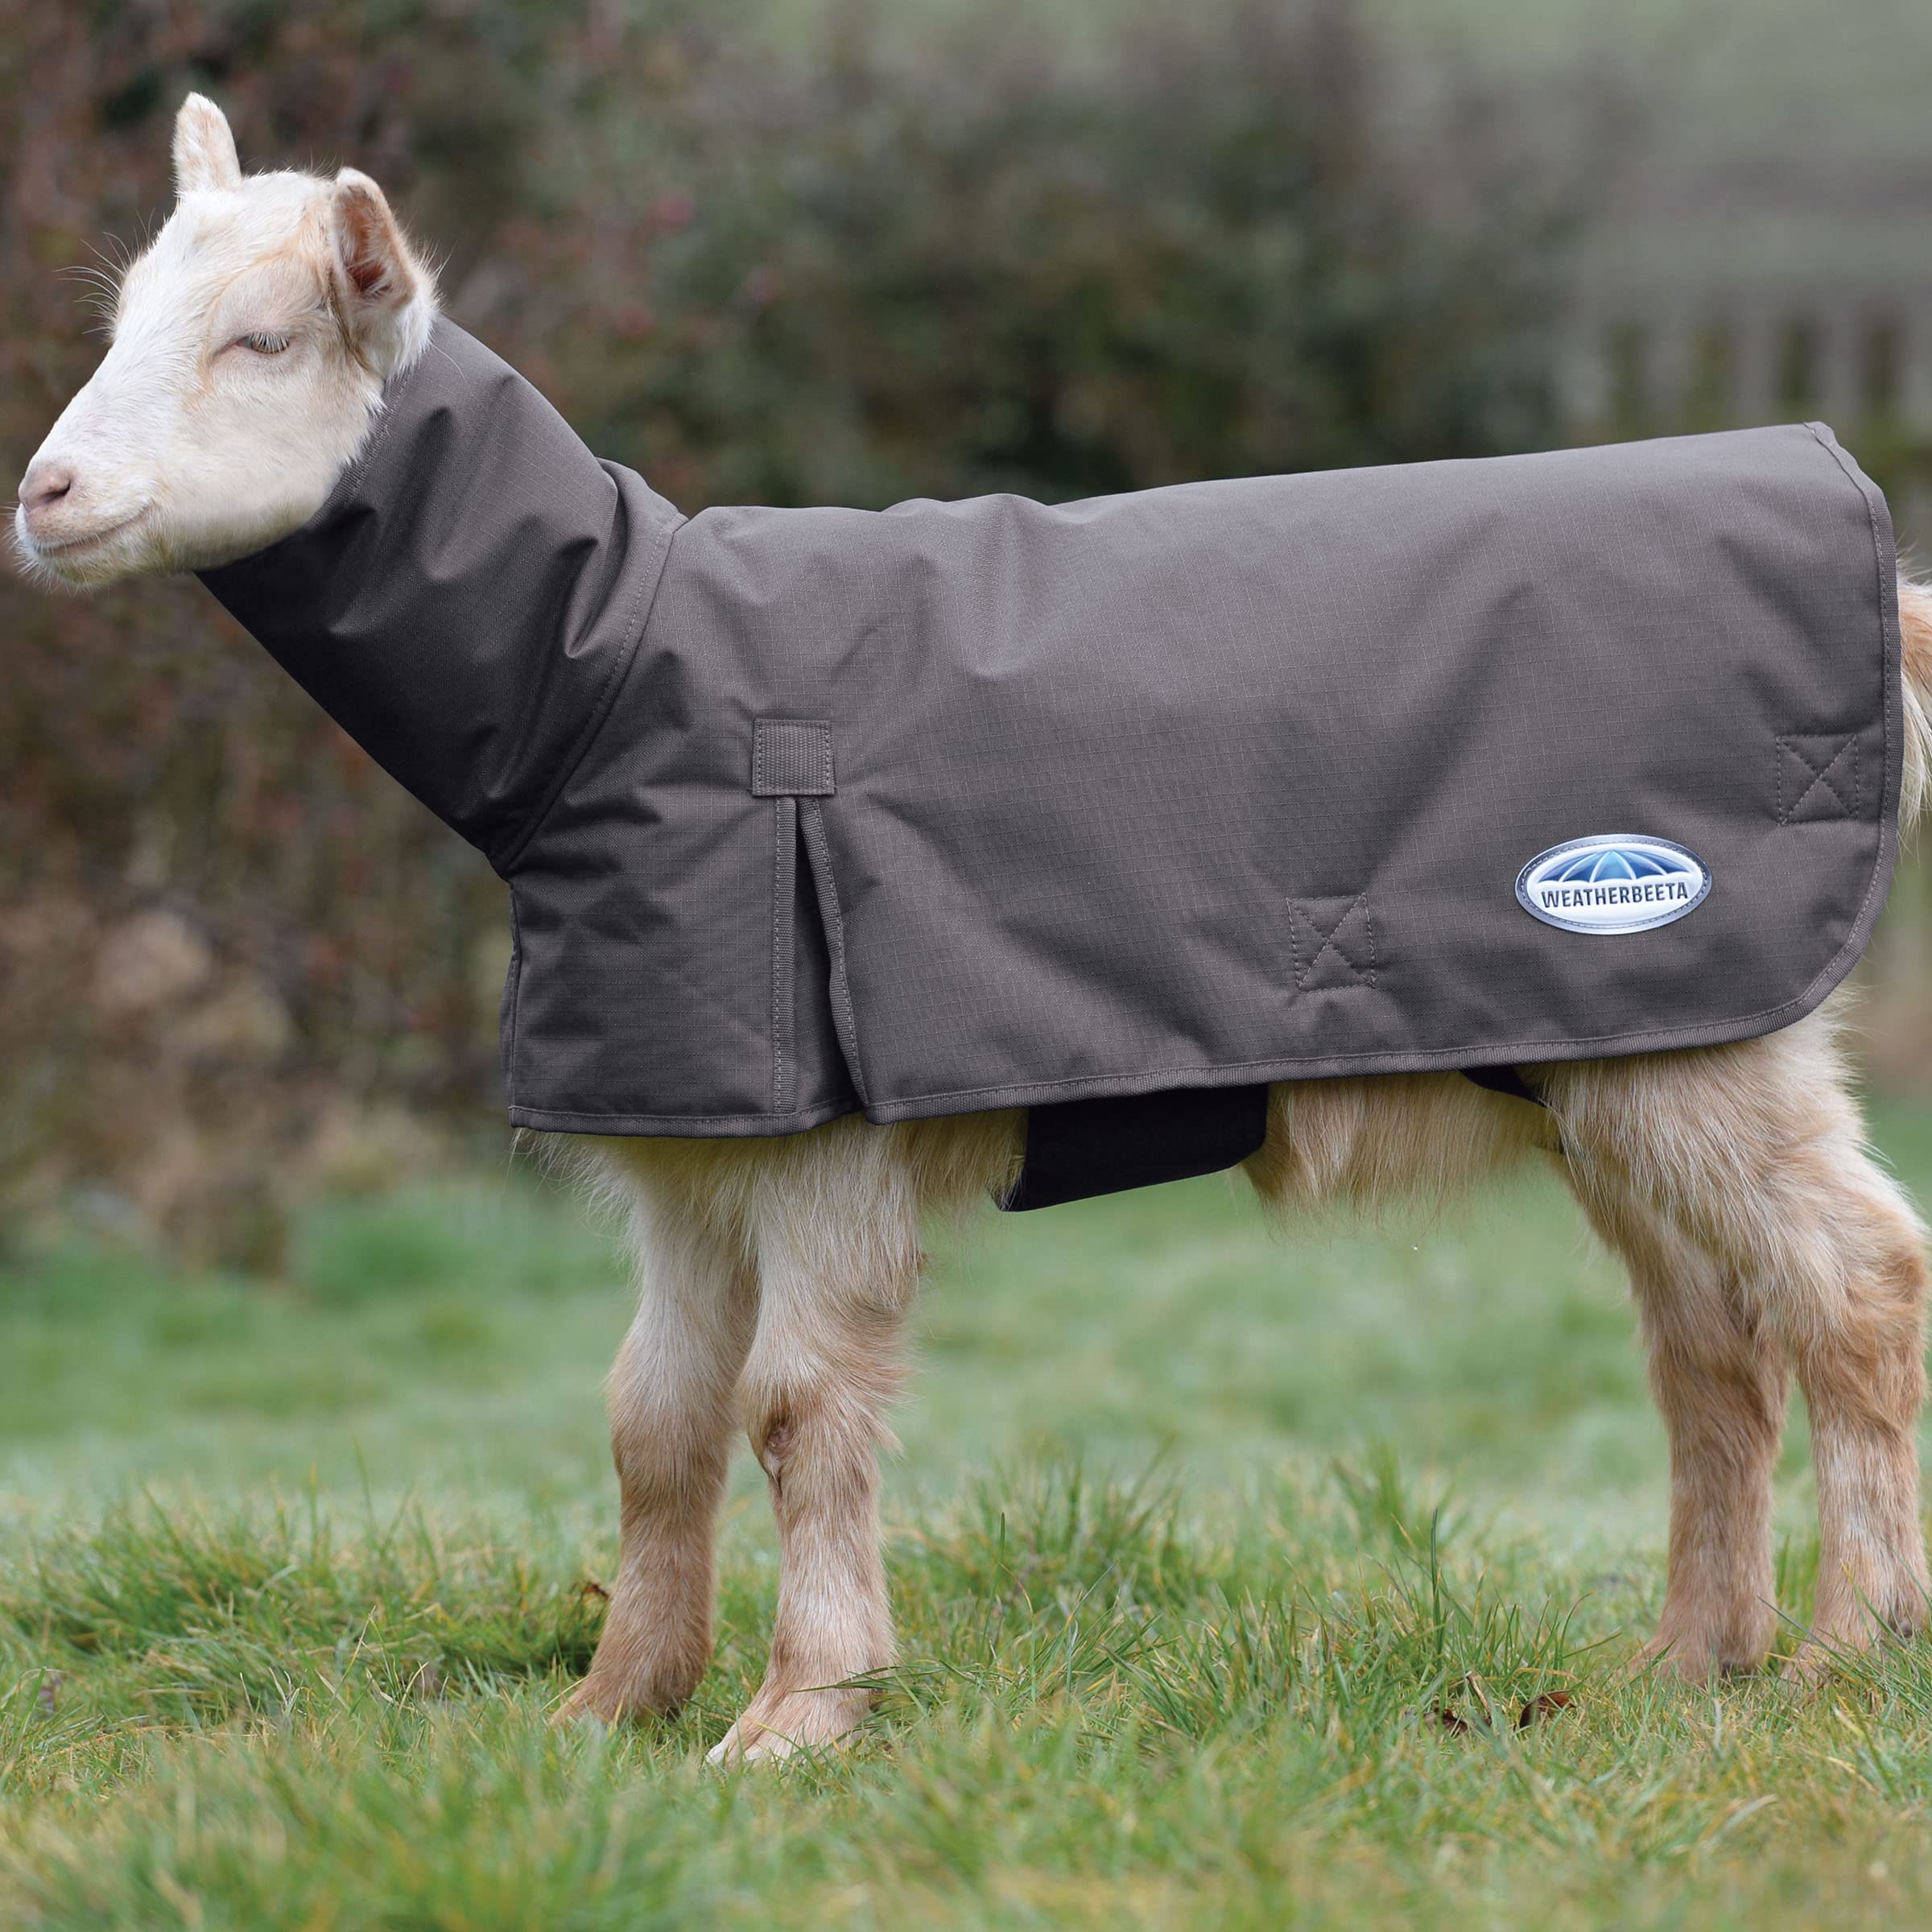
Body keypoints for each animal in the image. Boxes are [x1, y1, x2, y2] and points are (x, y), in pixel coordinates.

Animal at [17, 95, 1932, 1762]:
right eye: (120, 323)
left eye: (265, 342)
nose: (40, 497)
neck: (616, 675)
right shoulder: (686, 1142)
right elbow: (652, 1422)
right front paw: (608, 1717)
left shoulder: (824, 1144)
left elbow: (795, 1414)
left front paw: (797, 1720)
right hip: (1621, 1053)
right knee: (1711, 1342)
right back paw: (1685, 1669)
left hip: (1710, 1022)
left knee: (1856, 1288)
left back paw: (1846, 1653)